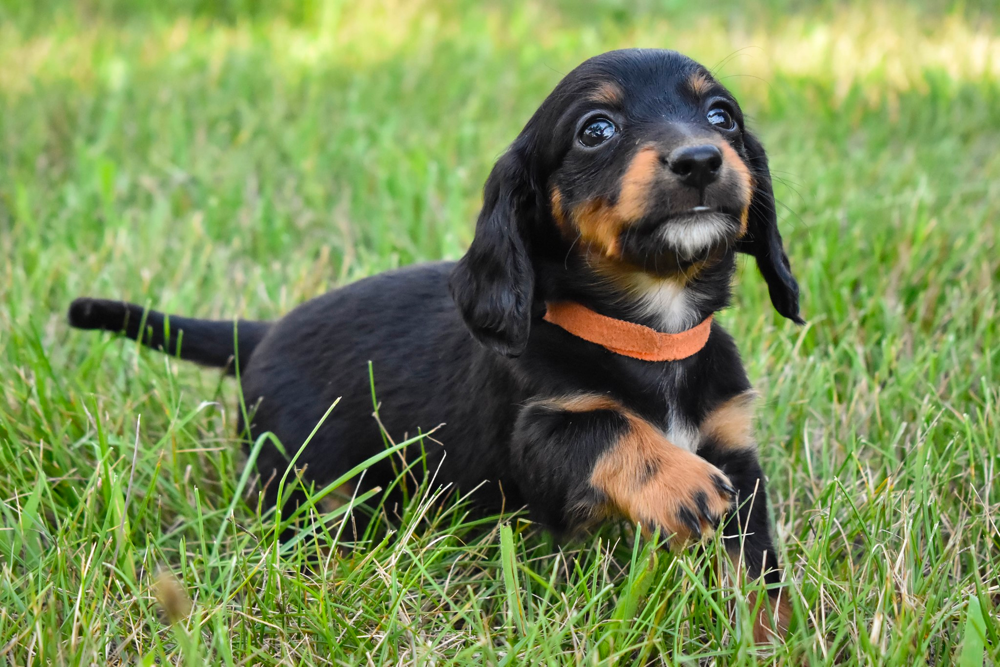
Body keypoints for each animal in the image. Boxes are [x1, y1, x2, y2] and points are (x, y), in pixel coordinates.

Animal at [68, 48, 804, 640]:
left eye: (722, 116)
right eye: (597, 130)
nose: (701, 160)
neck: (651, 334)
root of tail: (264, 332)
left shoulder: (732, 444)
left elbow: (758, 567)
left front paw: (774, 638)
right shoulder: (539, 436)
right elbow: (610, 428)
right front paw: (682, 484)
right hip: (301, 475)